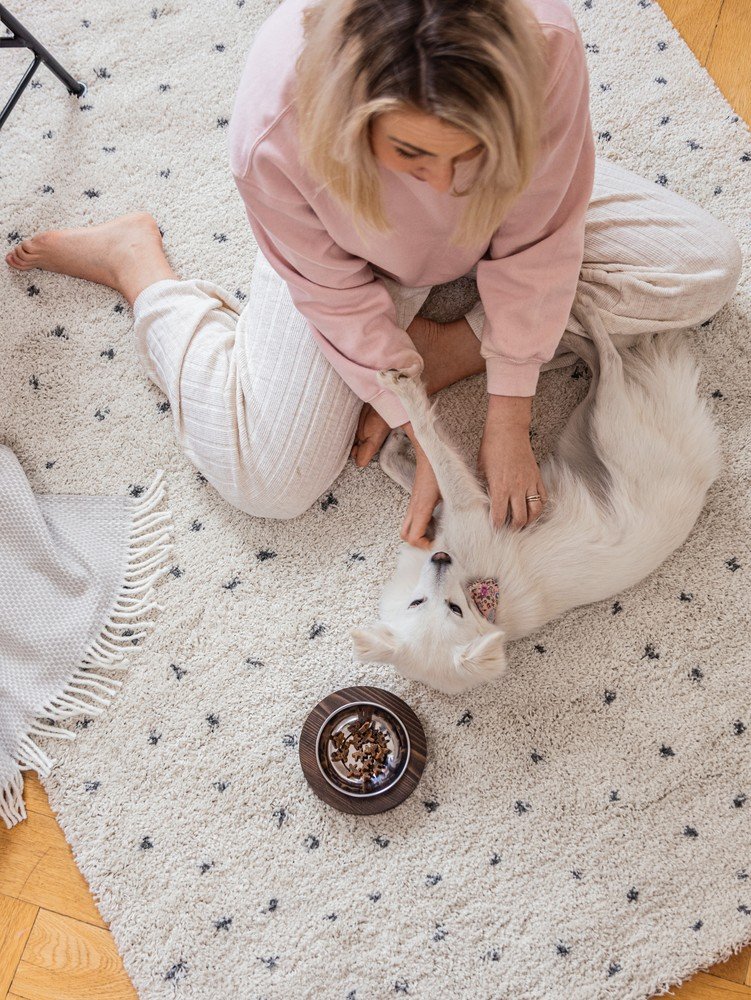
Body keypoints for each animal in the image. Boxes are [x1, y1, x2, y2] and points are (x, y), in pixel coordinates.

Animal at [349, 287, 722, 695]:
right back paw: (574, 331)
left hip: (608, 428)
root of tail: (700, 474)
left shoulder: (470, 504)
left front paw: (401, 401)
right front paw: (397, 432)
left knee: (609, 361)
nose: (441, 559)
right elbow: (420, 462)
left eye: (451, 608)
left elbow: (428, 441)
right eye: (419, 603)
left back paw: (579, 319)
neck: (483, 599)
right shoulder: (459, 511)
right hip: (591, 426)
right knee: (605, 367)